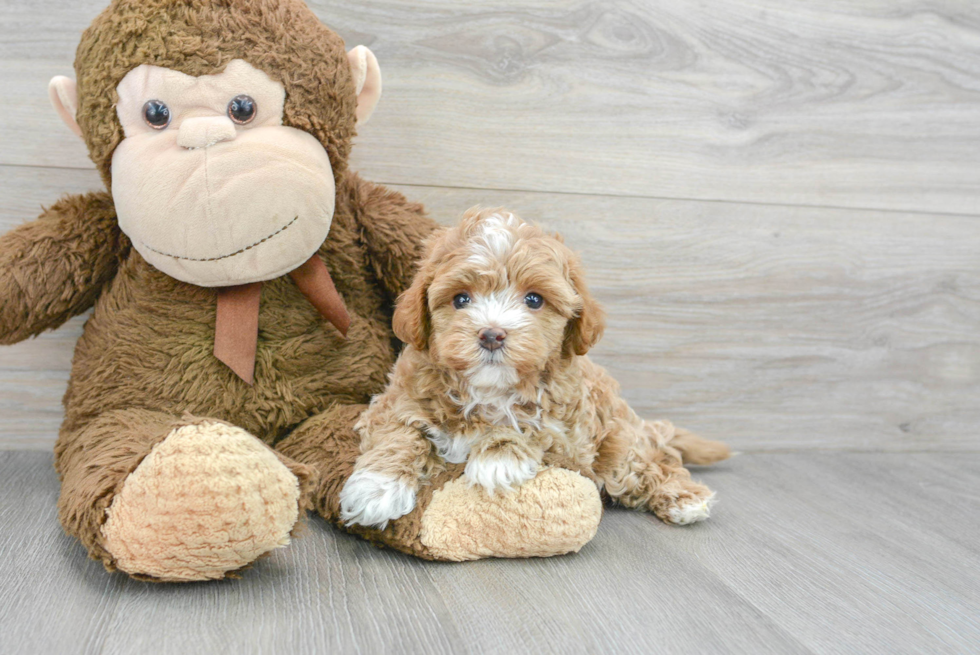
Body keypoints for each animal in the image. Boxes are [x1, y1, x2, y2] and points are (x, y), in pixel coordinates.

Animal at [338, 208, 728, 532]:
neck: (488, 389)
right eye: (461, 299)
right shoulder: (393, 400)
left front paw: (499, 456)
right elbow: (400, 431)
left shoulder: (572, 438)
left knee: (654, 463)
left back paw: (685, 499)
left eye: (534, 299)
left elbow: (534, 425)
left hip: (619, 446)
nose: (492, 334)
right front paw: (376, 487)